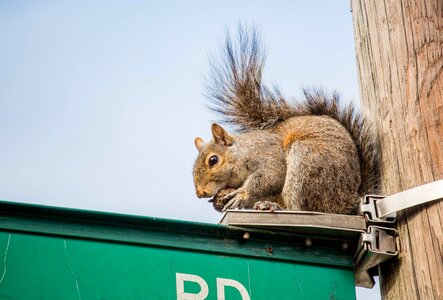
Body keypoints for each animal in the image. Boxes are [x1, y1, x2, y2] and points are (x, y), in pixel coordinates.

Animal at [193, 25, 380, 213]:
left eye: (213, 160)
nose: (200, 193)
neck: (241, 153)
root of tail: (349, 200)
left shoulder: (266, 154)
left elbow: (271, 175)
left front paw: (241, 194)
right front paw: (219, 200)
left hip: (307, 162)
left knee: (303, 207)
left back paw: (274, 206)